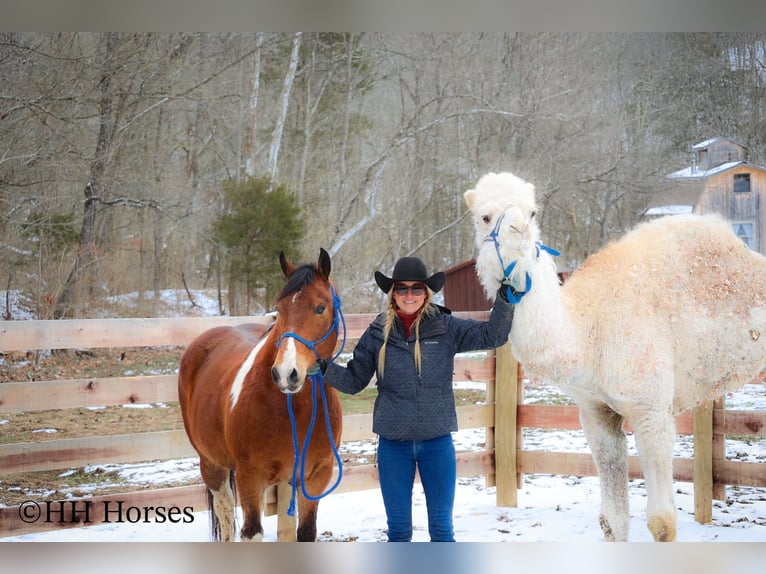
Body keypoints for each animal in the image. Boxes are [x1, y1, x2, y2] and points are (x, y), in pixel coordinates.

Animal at [178, 248, 344, 542]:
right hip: (212, 465)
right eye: (280, 308)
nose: (286, 373)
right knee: (225, 515)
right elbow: (251, 532)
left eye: (320, 308)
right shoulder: (250, 478)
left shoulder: (315, 477)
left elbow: (306, 532)